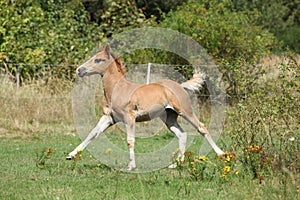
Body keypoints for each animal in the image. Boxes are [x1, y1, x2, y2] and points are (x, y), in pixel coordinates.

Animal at [67, 44, 223, 170]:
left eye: (98, 60)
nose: (79, 70)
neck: (118, 89)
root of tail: (180, 85)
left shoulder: (129, 118)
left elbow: (130, 140)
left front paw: (131, 166)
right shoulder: (109, 118)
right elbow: (92, 133)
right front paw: (71, 155)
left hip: (185, 111)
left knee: (202, 128)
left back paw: (220, 153)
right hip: (169, 118)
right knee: (182, 134)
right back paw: (176, 164)